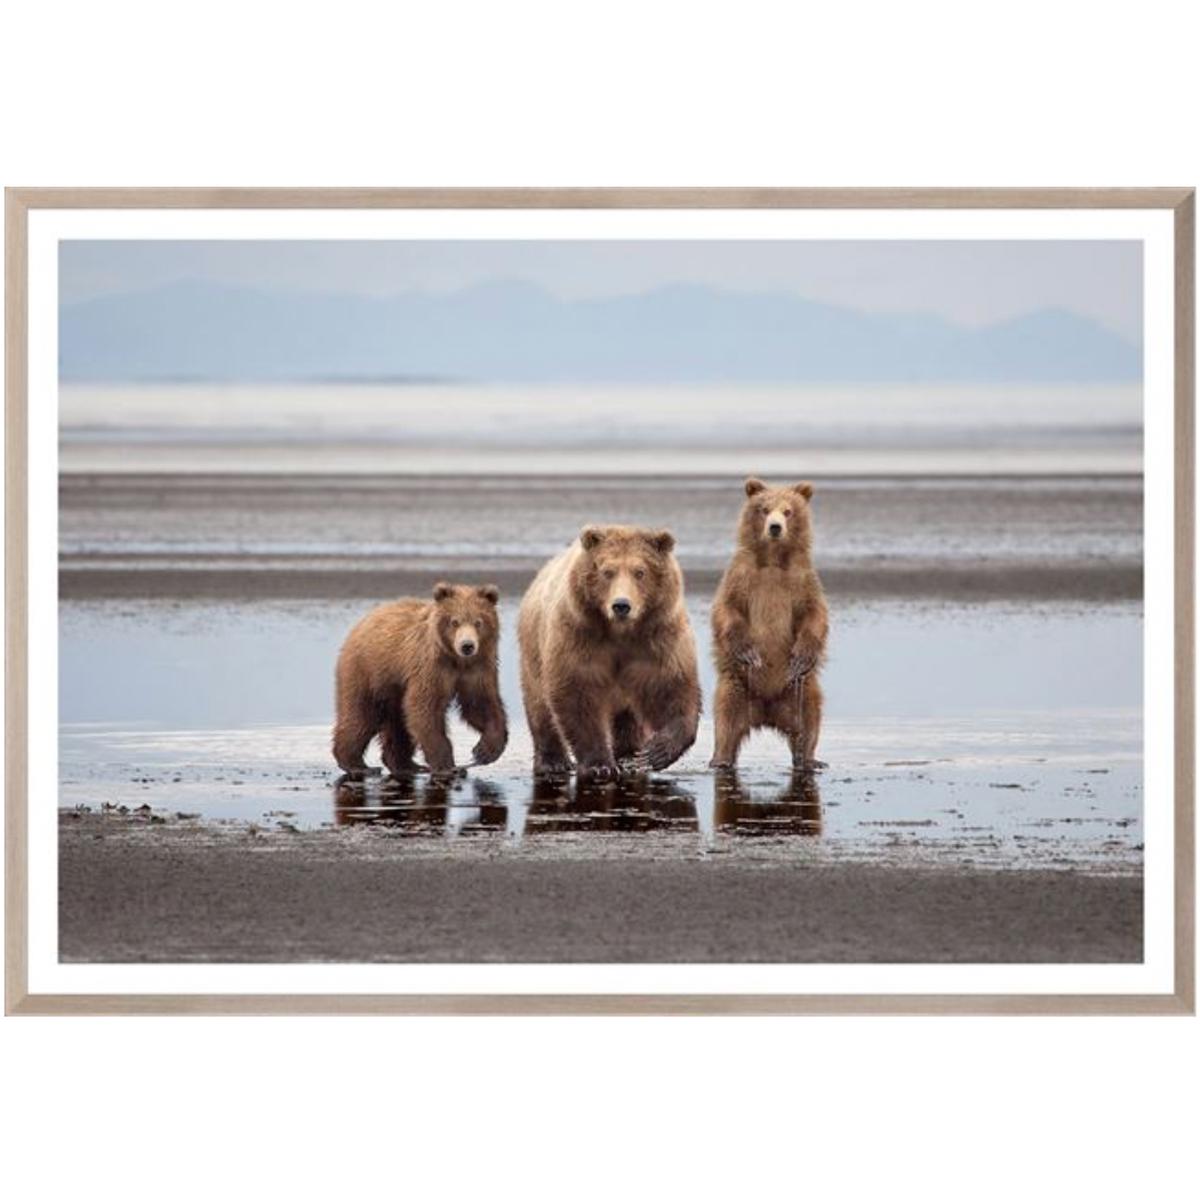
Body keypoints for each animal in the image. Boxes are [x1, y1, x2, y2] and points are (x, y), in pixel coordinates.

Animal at [332, 582, 507, 779]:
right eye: (454, 621)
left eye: (478, 622)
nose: (467, 646)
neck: (456, 660)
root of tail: (361, 624)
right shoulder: (430, 667)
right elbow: (424, 708)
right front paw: (447, 765)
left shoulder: (477, 669)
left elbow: (480, 704)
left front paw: (486, 750)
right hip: (367, 672)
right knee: (361, 716)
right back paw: (358, 765)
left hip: (393, 687)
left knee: (398, 723)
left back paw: (407, 765)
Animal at [517, 525, 702, 780]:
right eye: (607, 572)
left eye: (640, 571)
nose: (621, 605)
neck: (620, 633)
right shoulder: (579, 636)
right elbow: (578, 694)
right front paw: (599, 764)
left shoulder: (657, 639)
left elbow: (672, 688)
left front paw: (655, 752)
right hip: (534, 649)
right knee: (540, 707)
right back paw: (553, 762)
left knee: (627, 717)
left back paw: (629, 756)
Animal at [709, 477, 828, 770]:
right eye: (764, 509)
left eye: (788, 511)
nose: (775, 527)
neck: (773, 560)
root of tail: (766, 711)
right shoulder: (741, 577)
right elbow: (727, 608)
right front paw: (749, 651)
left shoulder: (802, 580)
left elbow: (815, 613)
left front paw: (802, 655)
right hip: (737, 686)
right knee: (725, 721)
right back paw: (720, 760)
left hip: (799, 691)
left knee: (810, 719)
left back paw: (810, 760)